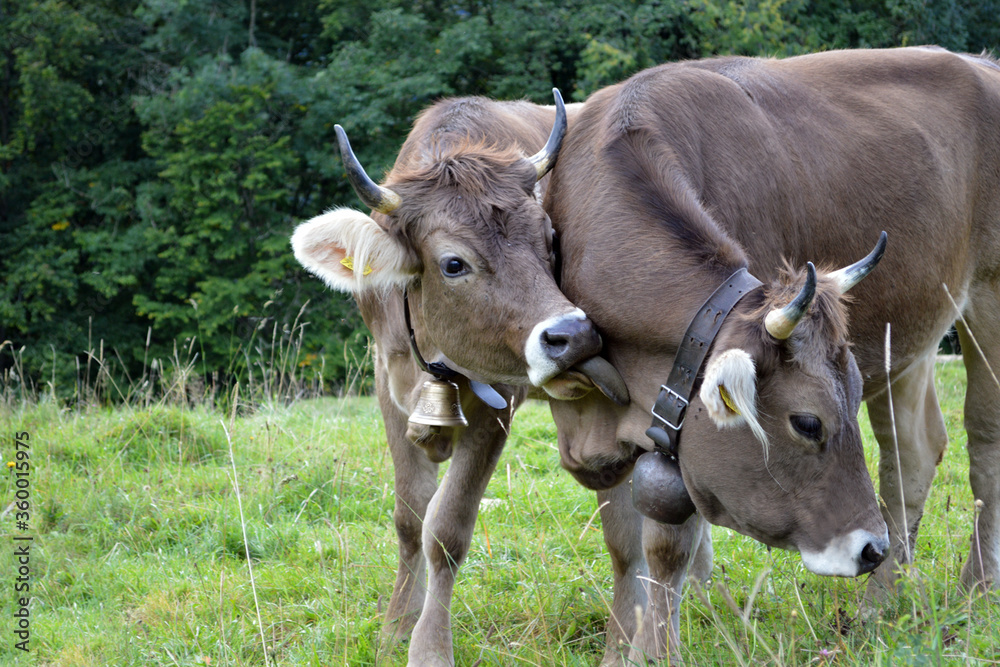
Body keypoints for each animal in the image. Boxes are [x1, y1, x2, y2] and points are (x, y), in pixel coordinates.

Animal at [544, 47, 1000, 664]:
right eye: (808, 423)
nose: (870, 549)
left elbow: (666, 542)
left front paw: (654, 651)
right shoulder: (594, 421)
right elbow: (624, 540)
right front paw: (622, 646)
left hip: (991, 295)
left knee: (985, 438)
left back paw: (975, 590)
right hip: (912, 333)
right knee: (913, 451)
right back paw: (882, 605)